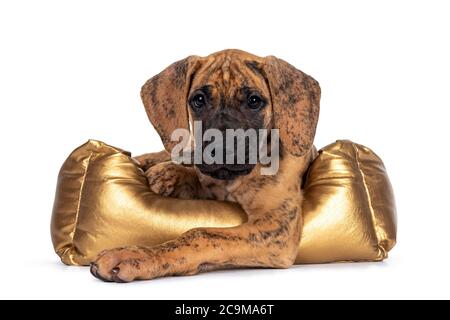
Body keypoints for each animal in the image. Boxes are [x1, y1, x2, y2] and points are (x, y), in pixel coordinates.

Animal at [89, 48, 320, 282]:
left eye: (254, 101)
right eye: (198, 100)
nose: (221, 148)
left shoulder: (276, 226)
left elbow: (202, 234)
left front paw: (135, 256)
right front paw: (168, 175)